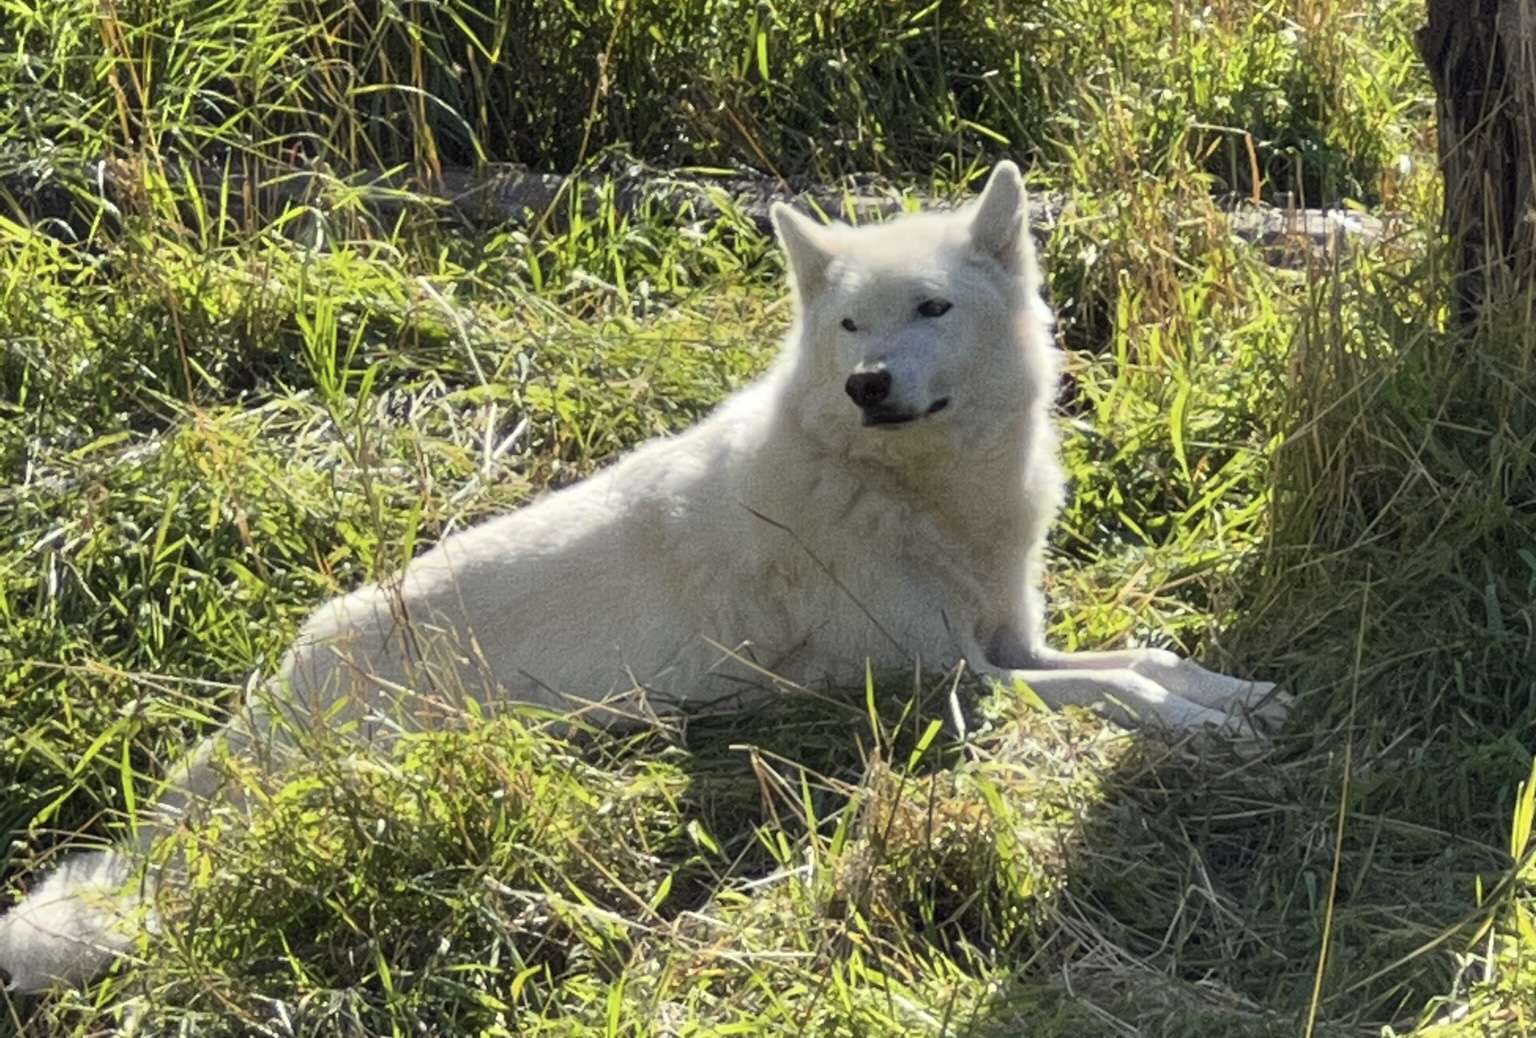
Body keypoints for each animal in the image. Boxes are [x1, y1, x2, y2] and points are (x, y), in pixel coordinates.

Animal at [0, 161, 1284, 993]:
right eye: (851, 325)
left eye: (930, 309)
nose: (868, 382)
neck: (922, 498)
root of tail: (273, 690)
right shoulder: (948, 682)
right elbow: (1113, 690)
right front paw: (1202, 730)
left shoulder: (1008, 643)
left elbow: (1145, 655)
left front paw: (1241, 697)